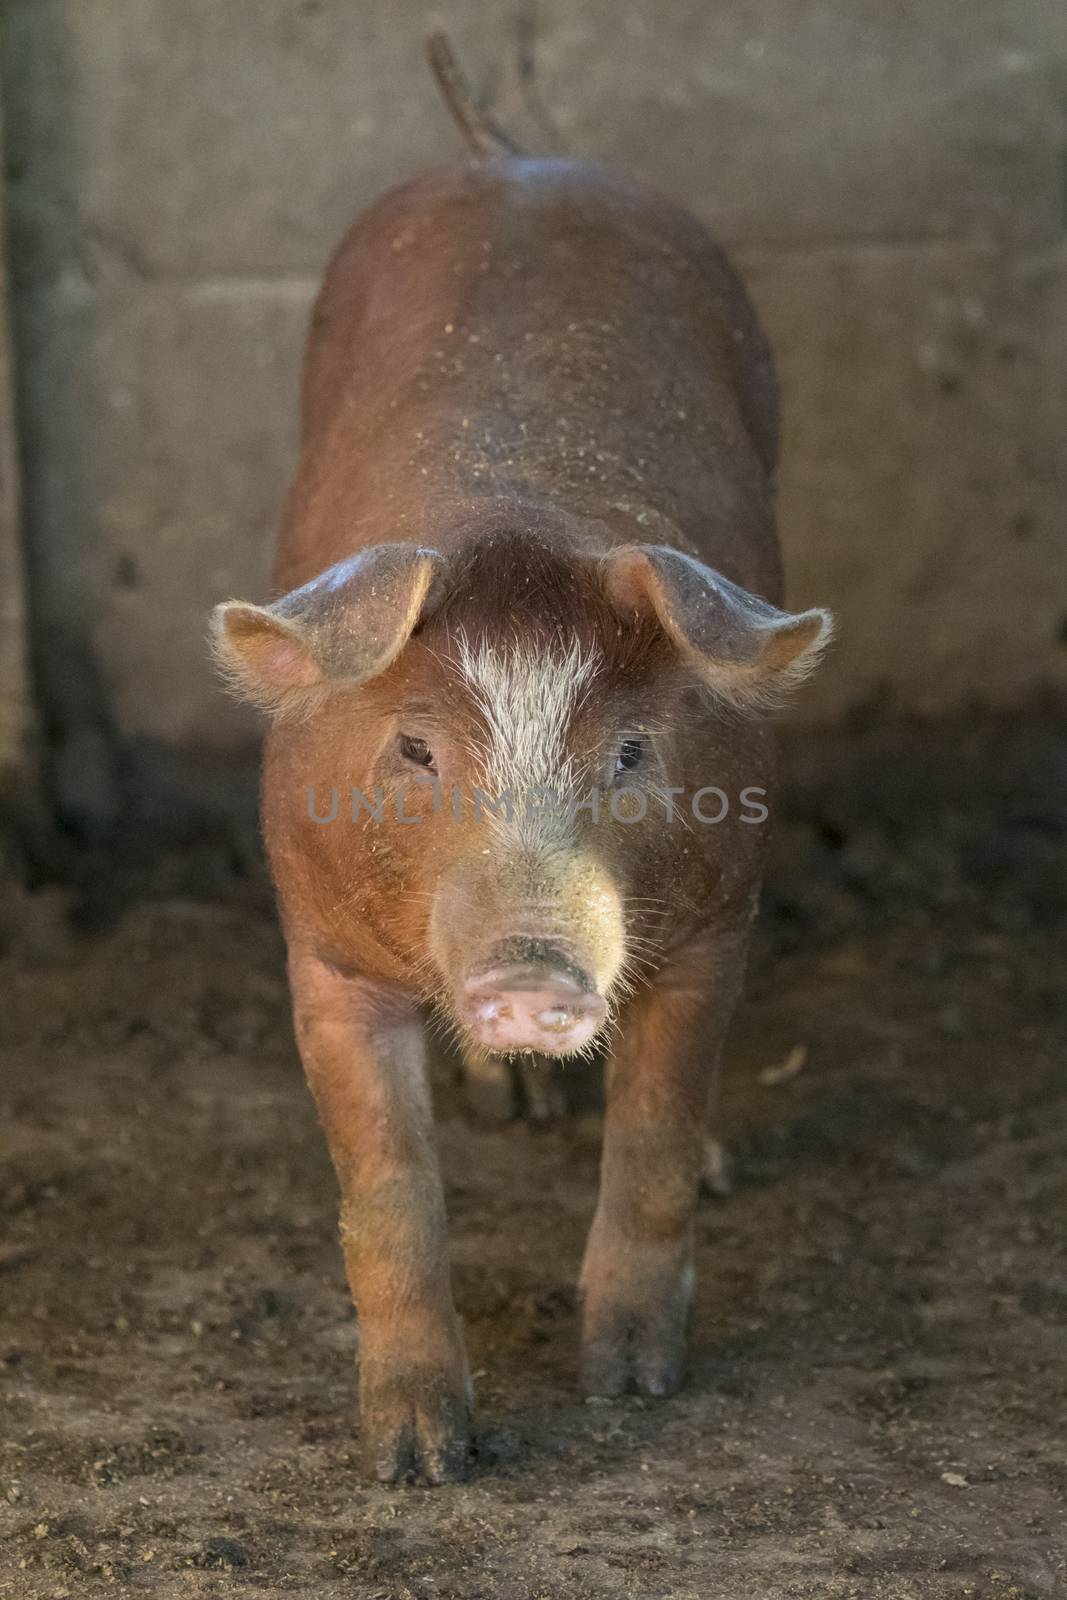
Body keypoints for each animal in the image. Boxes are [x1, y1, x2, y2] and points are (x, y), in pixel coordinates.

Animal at [212, 34, 831, 1484]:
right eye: (413, 745)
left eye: (633, 750)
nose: (534, 972)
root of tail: (509, 154)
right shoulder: (320, 957)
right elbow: (386, 1197)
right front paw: (417, 1462)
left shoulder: (717, 919)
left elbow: (651, 1140)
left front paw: (631, 1389)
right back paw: (509, 1110)